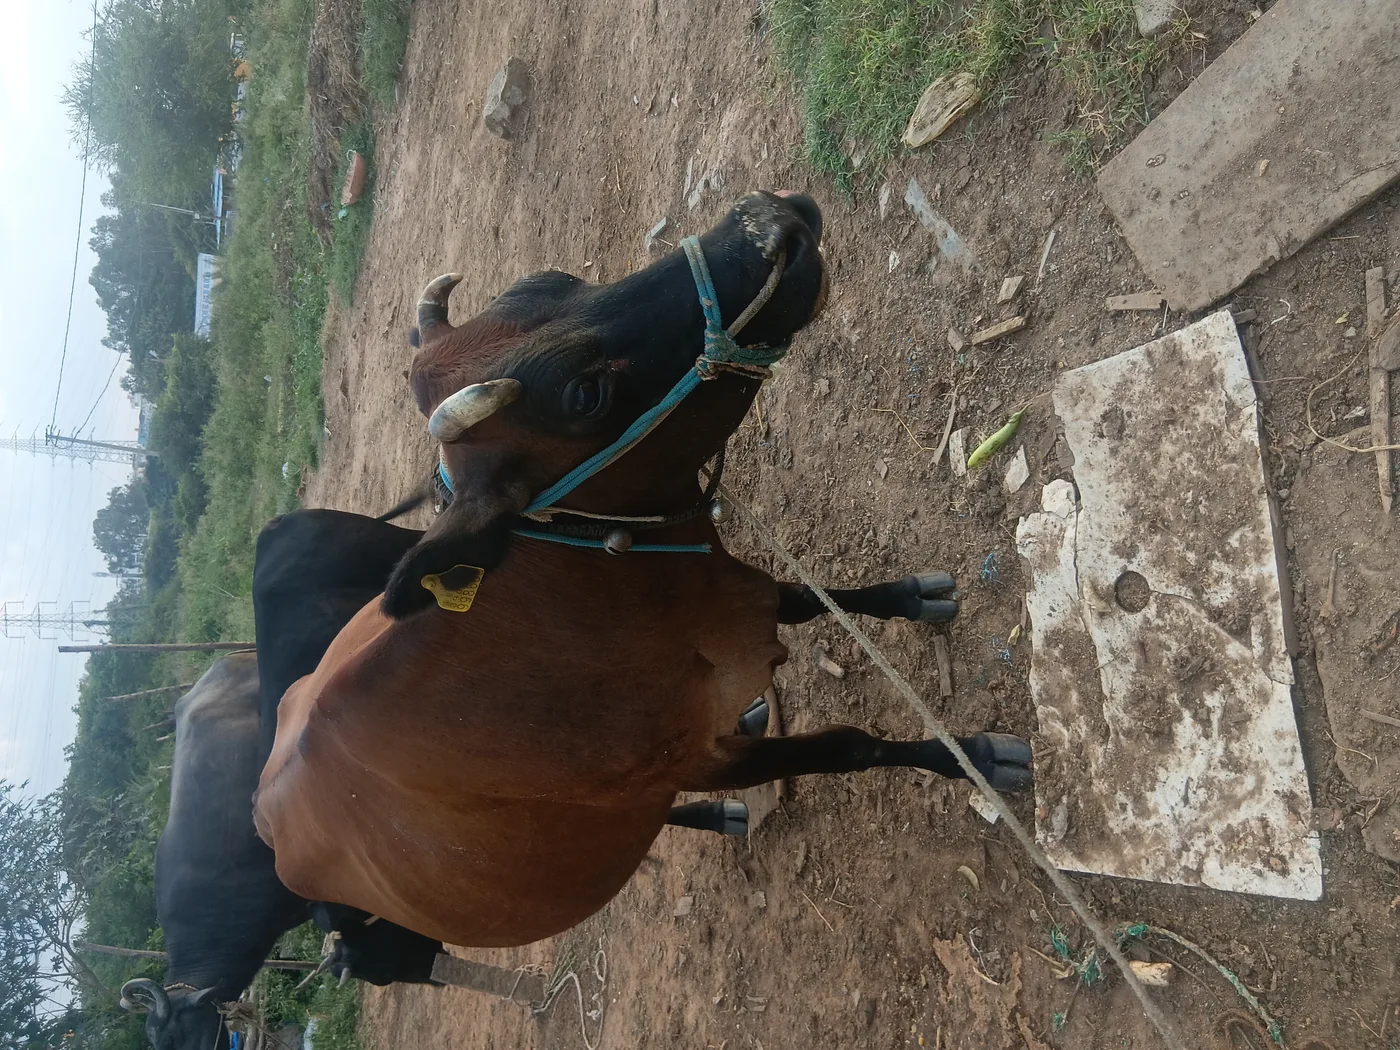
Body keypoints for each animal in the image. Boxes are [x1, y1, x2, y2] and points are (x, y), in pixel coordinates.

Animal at [252, 190, 1032, 949]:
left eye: (557, 281)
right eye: (584, 394)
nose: (770, 220)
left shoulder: (740, 590)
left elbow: (812, 598)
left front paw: (913, 597)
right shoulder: (695, 759)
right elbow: (849, 745)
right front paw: (975, 757)